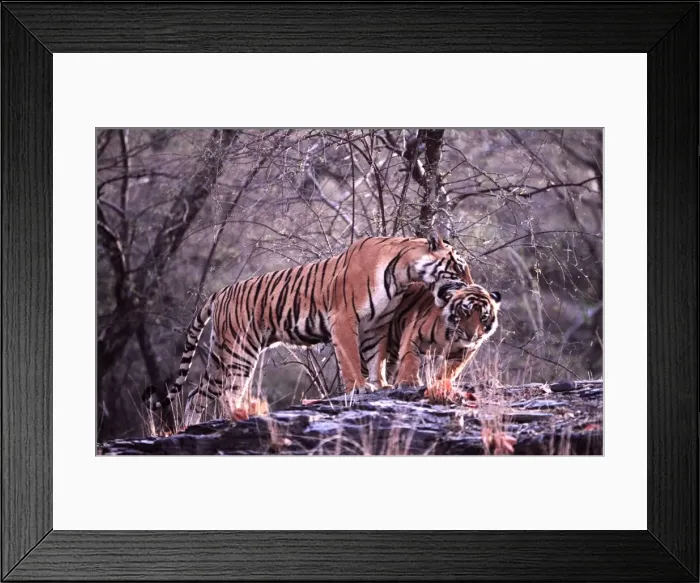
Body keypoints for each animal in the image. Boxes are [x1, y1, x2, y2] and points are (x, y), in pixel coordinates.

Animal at [143, 232, 469, 427]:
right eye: (459, 267)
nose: (471, 282)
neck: (403, 273)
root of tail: (221, 292)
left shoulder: (377, 326)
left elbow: (376, 360)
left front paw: (383, 385)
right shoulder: (344, 319)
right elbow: (351, 359)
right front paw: (360, 387)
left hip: (218, 355)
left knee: (196, 394)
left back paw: (189, 426)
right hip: (239, 351)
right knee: (229, 391)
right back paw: (237, 415)